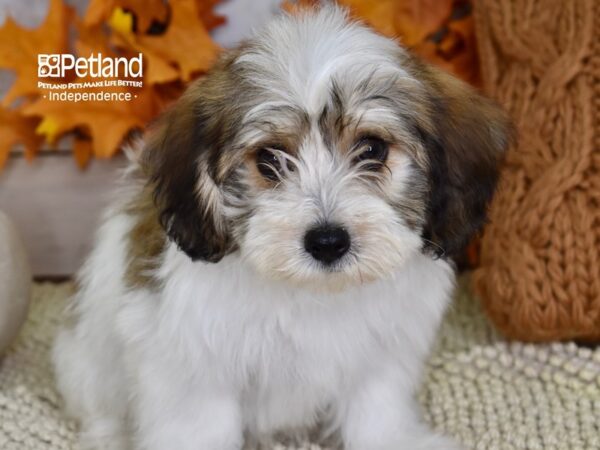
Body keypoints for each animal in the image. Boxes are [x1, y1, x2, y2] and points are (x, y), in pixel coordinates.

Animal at [52, 4, 510, 450]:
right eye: (269, 159)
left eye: (373, 149)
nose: (328, 241)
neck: (312, 293)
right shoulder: (193, 357)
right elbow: (200, 422)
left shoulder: (380, 352)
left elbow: (374, 406)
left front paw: (391, 440)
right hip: (88, 362)